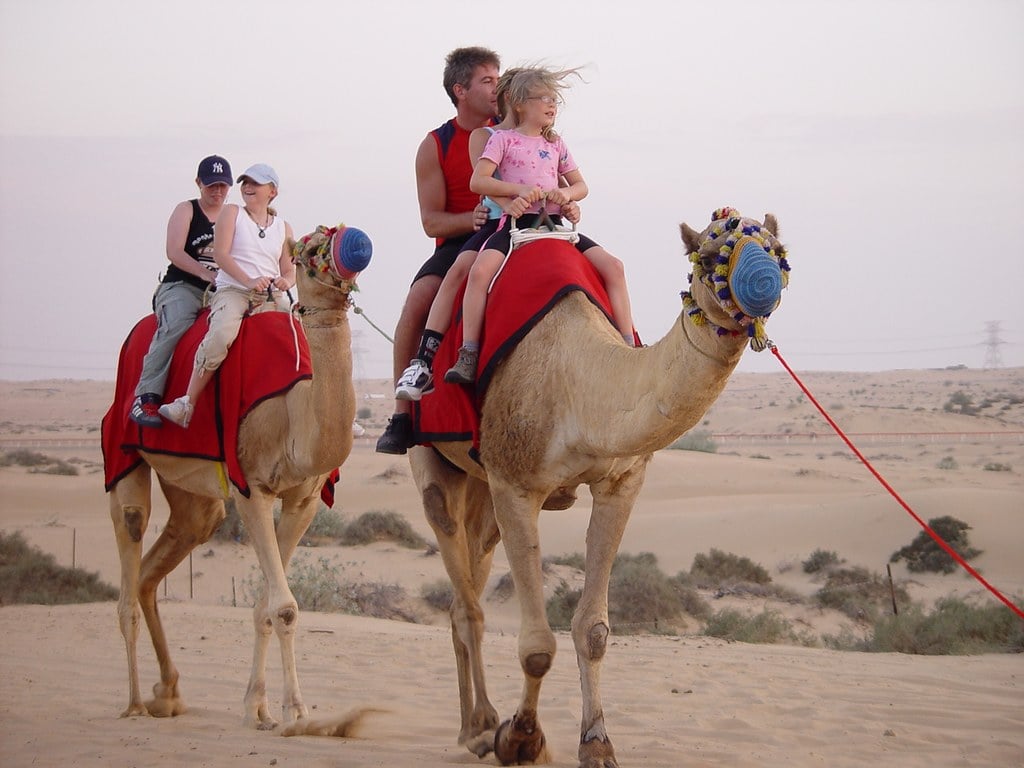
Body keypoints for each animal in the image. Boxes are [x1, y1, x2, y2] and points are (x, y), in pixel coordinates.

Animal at [108, 225, 370, 737]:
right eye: (310, 247)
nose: (357, 245)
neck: (293, 411)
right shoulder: (251, 487)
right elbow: (283, 606)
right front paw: (296, 713)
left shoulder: (304, 500)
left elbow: (265, 606)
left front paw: (258, 708)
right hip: (122, 454)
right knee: (130, 549)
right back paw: (132, 704)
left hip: (194, 496)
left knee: (156, 566)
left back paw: (167, 693)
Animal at [409, 207, 790, 765]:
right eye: (710, 257)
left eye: (779, 251)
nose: (763, 285)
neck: (580, 384)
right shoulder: (515, 484)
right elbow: (537, 647)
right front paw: (521, 738)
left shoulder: (621, 482)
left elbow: (593, 631)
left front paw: (597, 743)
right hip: (436, 458)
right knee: (464, 591)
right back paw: (479, 728)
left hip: (482, 485)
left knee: (468, 587)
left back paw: (474, 724)